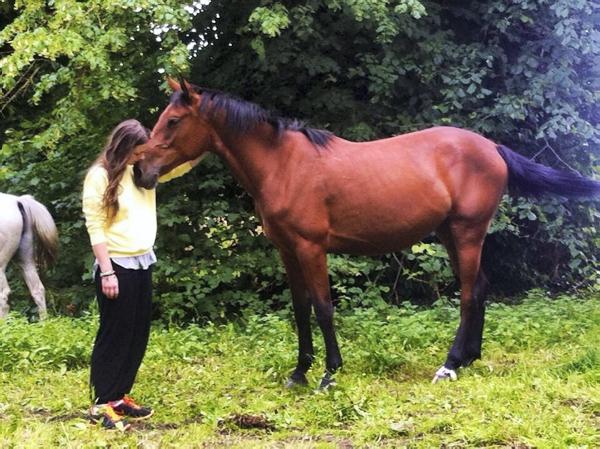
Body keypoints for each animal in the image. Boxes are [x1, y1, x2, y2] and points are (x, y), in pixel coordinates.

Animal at [133, 78, 600, 387]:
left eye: (173, 121)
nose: (141, 171)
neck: (283, 165)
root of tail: (492, 147)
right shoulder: (287, 250)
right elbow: (300, 309)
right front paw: (299, 372)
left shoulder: (311, 248)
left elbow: (323, 308)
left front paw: (329, 373)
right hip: (450, 234)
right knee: (481, 288)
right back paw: (469, 358)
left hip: (468, 232)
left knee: (469, 294)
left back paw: (449, 365)